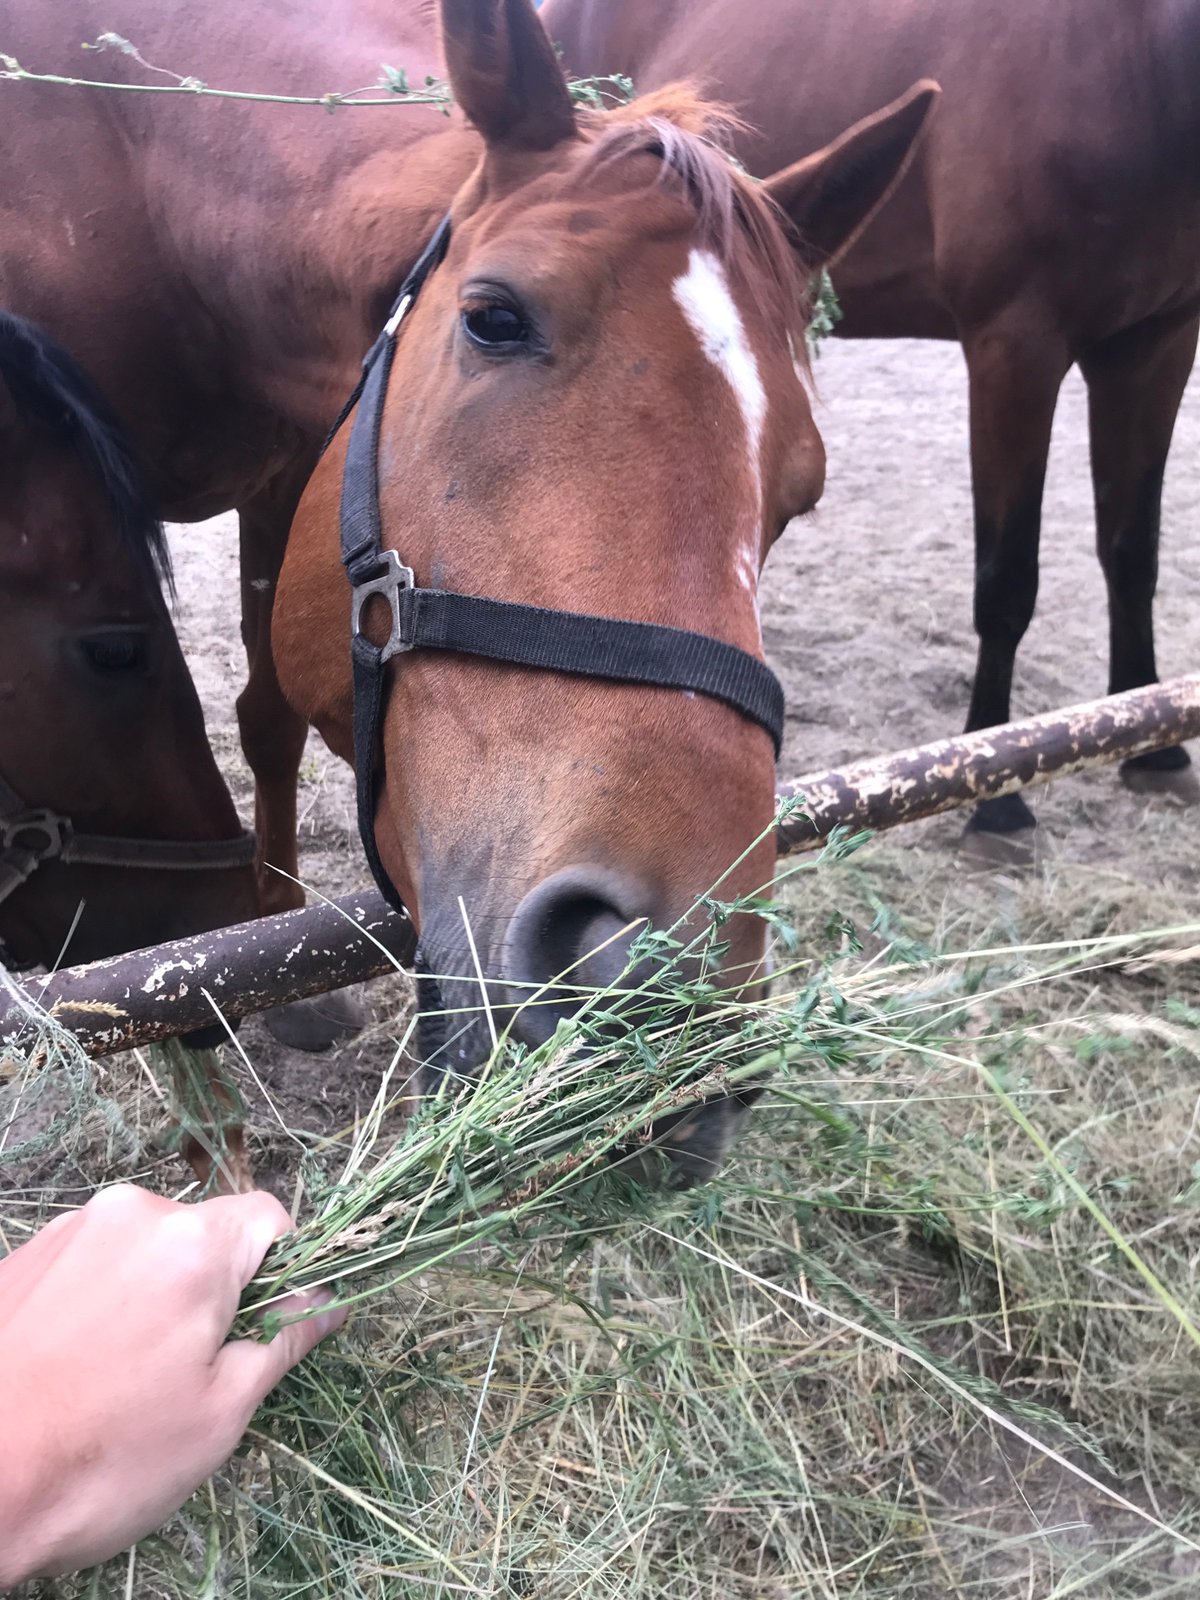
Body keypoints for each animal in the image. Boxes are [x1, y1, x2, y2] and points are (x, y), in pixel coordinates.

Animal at [2, 0, 933, 1177]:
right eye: (494, 319)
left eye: (801, 486)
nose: (660, 995)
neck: (133, 171)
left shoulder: (291, 471)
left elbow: (265, 719)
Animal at [542, 0, 1200, 833]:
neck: (1135, 57)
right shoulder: (1015, 348)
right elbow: (1008, 582)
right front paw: (998, 794)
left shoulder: (1157, 344)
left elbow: (1132, 551)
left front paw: (1153, 746)